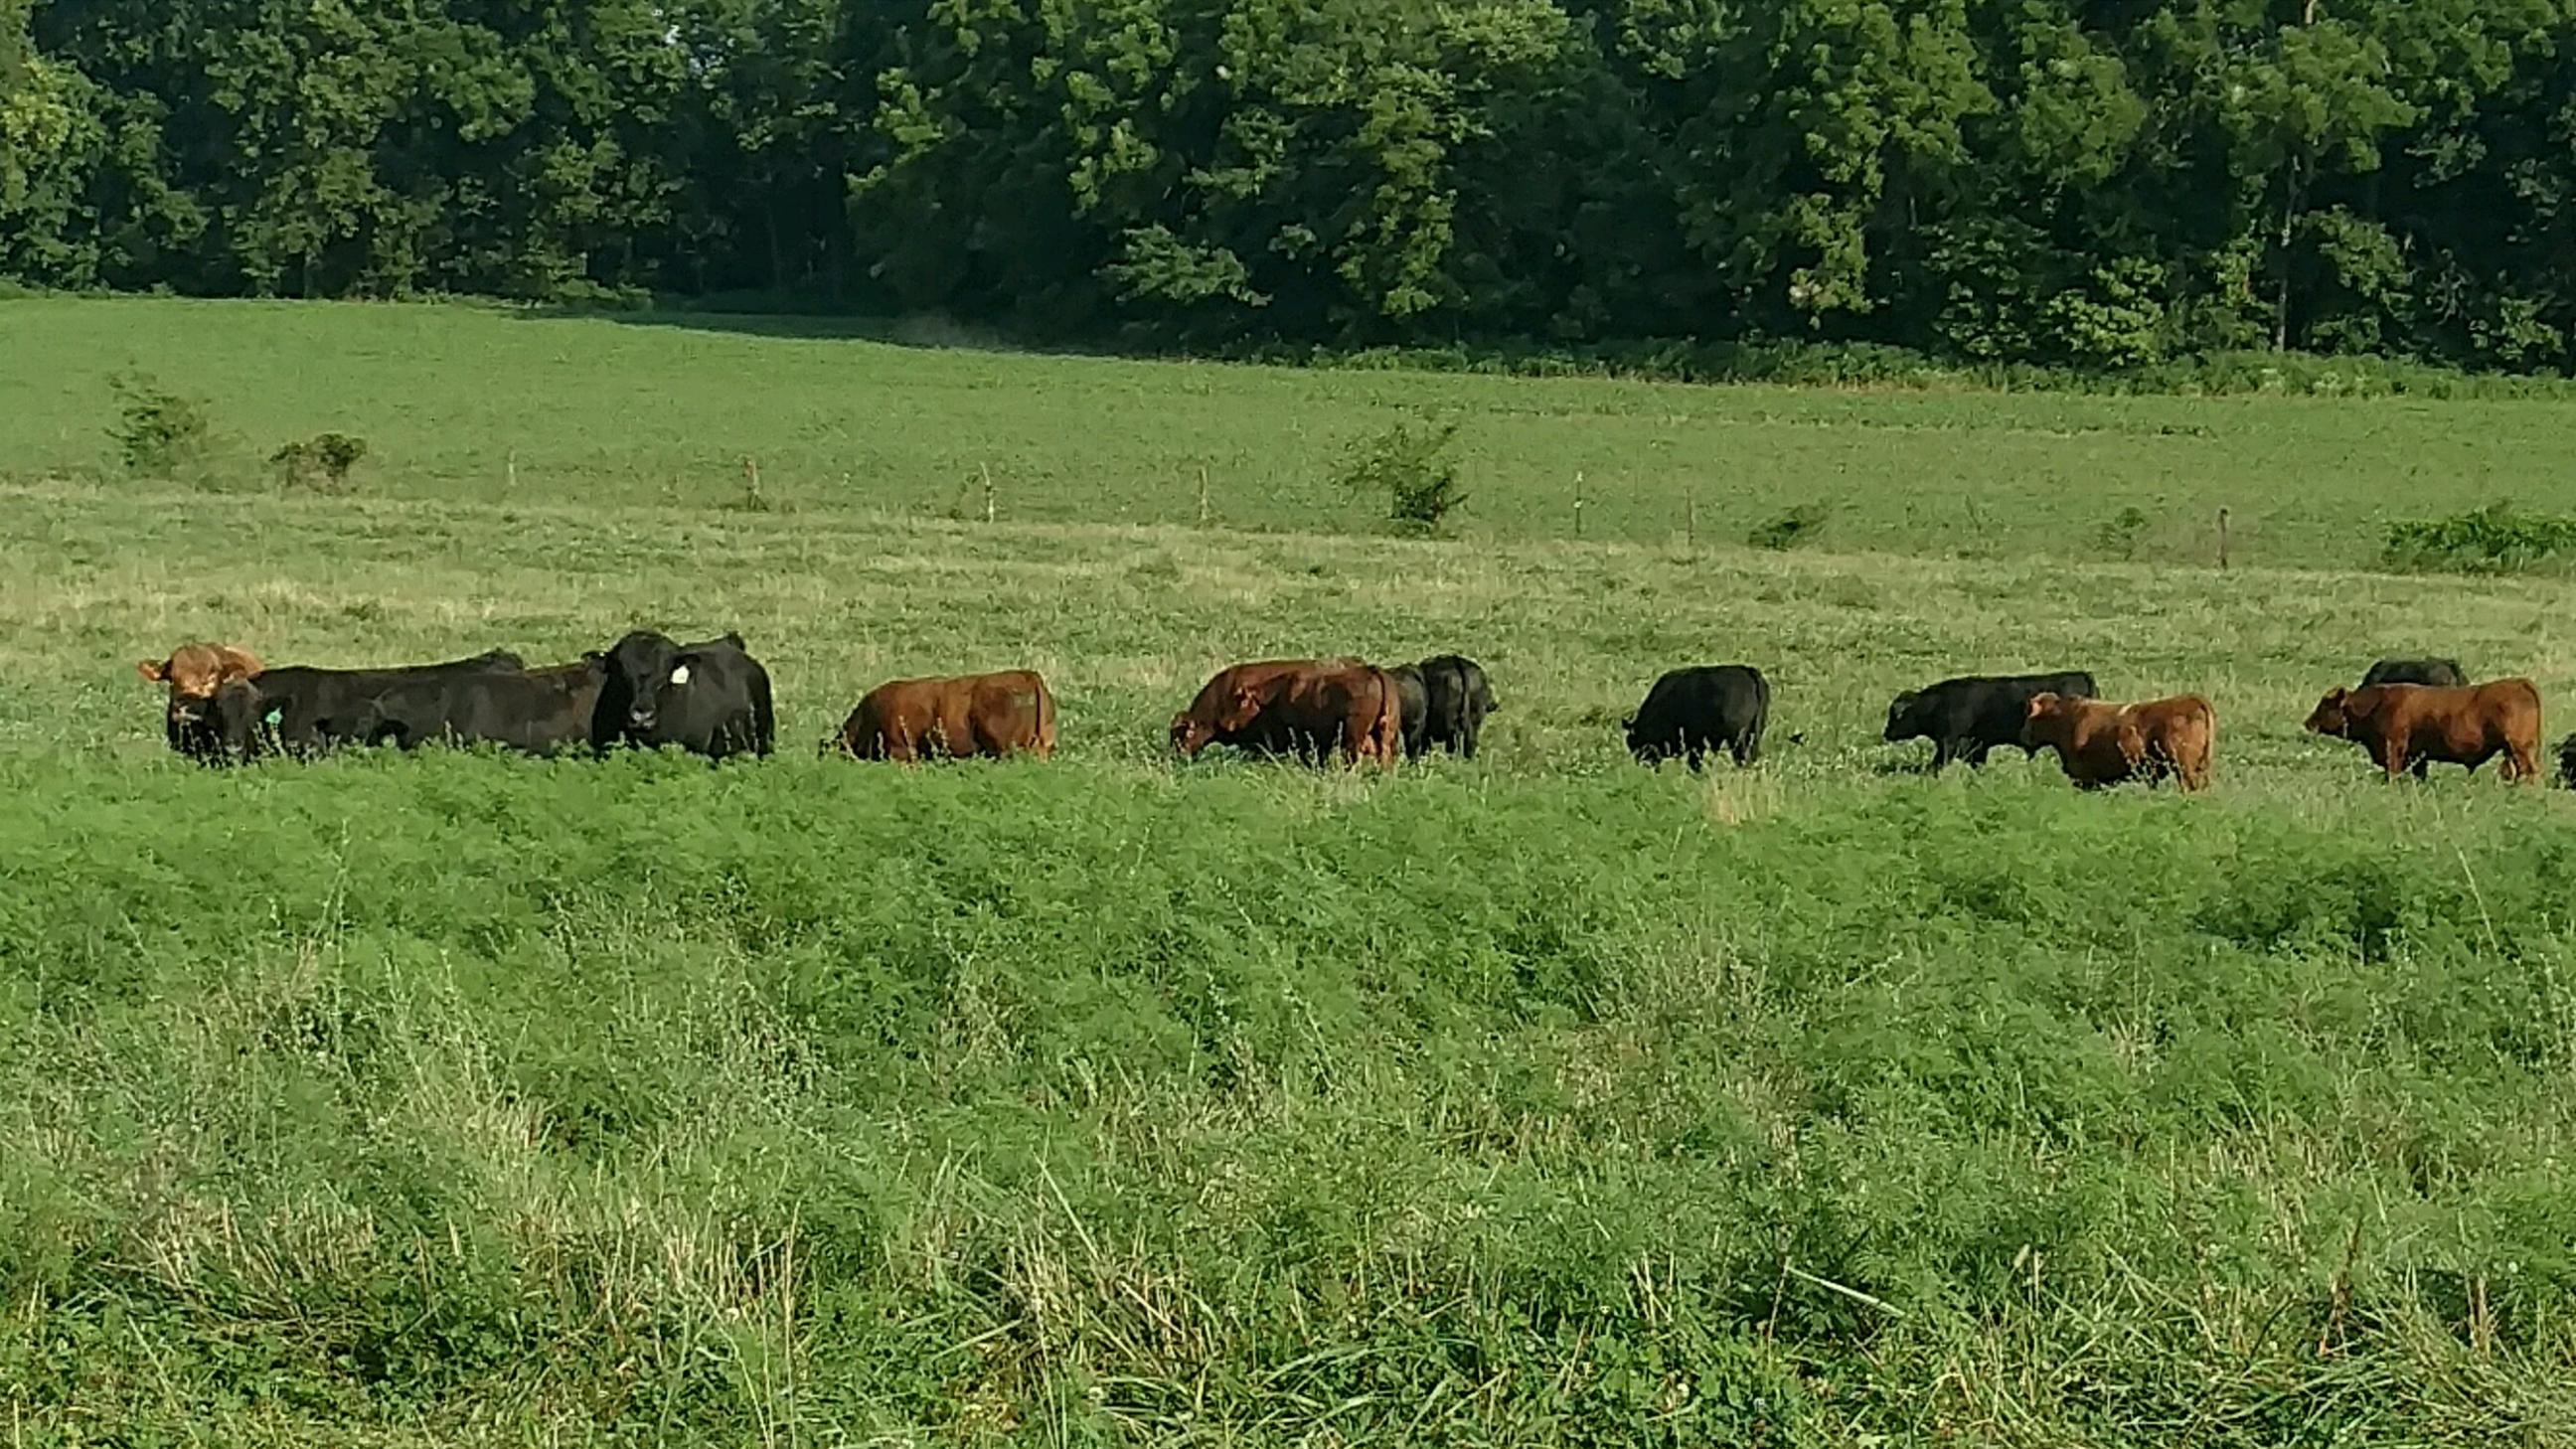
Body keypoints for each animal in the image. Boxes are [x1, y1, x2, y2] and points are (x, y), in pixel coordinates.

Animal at [1625, 665, 1768, 771]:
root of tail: (1749, 671)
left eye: (1634, 742)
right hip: (1754, 736)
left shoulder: (1696, 743)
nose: (1640, 763)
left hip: (1738, 740)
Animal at [2303, 679, 2540, 783]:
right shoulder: (2418, 756)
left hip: (2519, 747)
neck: (2376, 705)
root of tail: (2518, 682)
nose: (2308, 722)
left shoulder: (2394, 748)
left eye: (2325, 705)